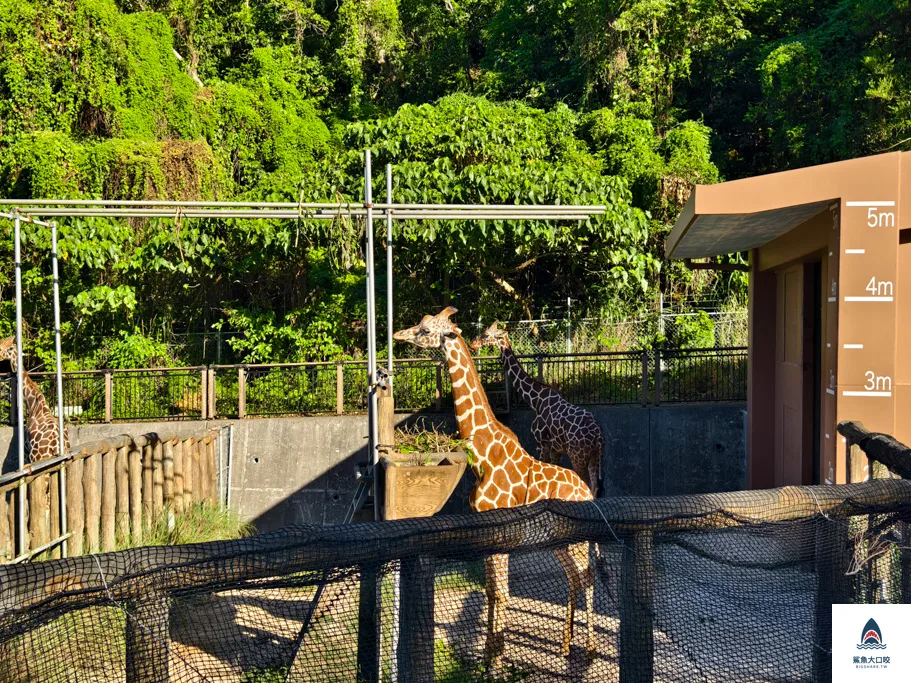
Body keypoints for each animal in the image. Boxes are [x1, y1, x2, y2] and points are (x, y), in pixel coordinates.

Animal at [470, 324, 604, 494]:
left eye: (486, 335)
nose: (472, 344)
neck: (535, 400)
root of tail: (598, 437)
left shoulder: (541, 443)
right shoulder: (555, 449)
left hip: (578, 456)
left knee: (587, 484)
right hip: (595, 458)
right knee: (595, 486)